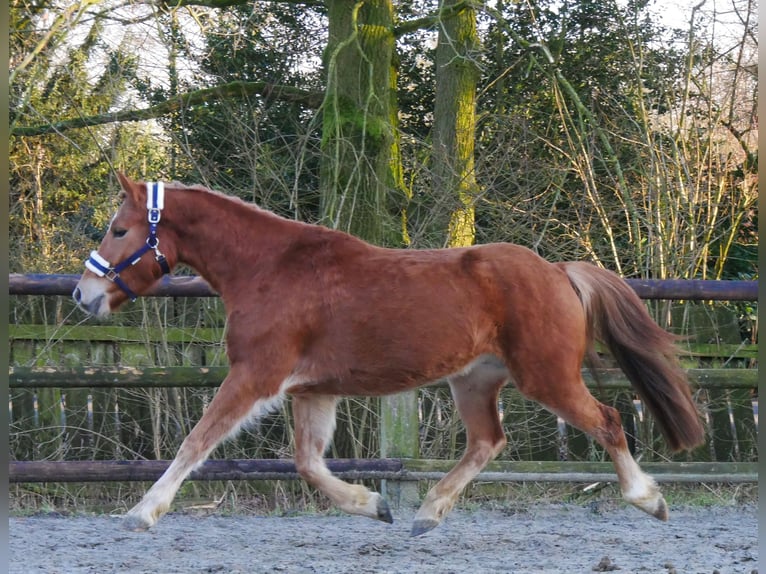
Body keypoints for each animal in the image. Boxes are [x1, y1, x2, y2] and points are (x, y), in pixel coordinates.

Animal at [75, 173, 704, 536]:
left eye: (119, 229)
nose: (83, 295)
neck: (269, 269)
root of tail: (557, 271)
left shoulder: (256, 376)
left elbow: (197, 442)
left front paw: (143, 511)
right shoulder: (312, 390)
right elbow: (308, 464)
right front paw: (374, 504)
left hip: (546, 377)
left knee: (609, 421)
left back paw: (649, 500)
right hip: (474, 381)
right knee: (487, 441)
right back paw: (427, 513)